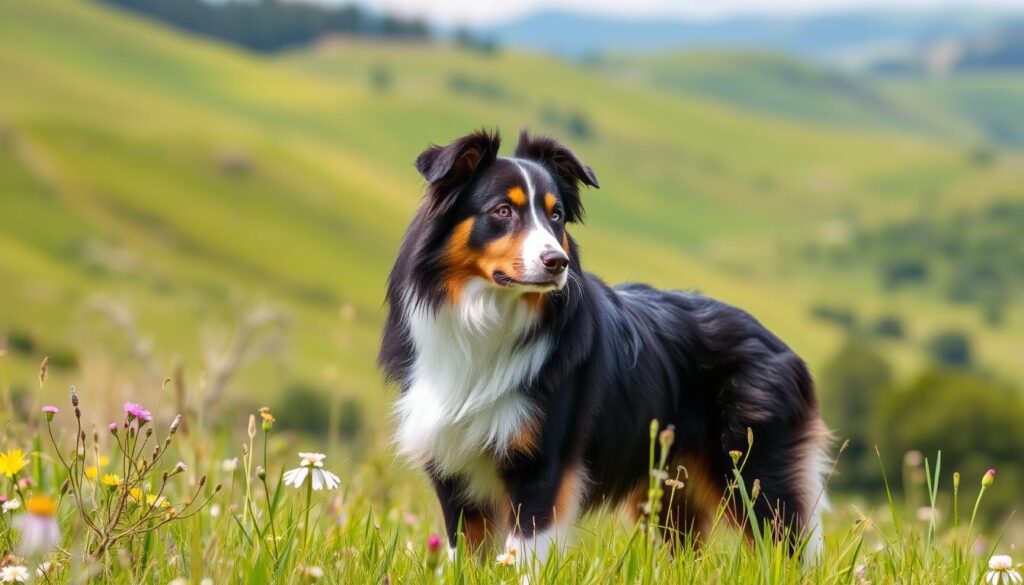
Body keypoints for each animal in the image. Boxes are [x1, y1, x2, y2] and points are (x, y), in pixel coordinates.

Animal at [380, 130, 827, 565]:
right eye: (503, 211)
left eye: (556, 215)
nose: (556, 262)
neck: (488, 319)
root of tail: (780, 344)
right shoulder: (452, 468)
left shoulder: (543, 467)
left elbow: (524, 555)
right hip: (670, 492)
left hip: (756, 477)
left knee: (788, 549)